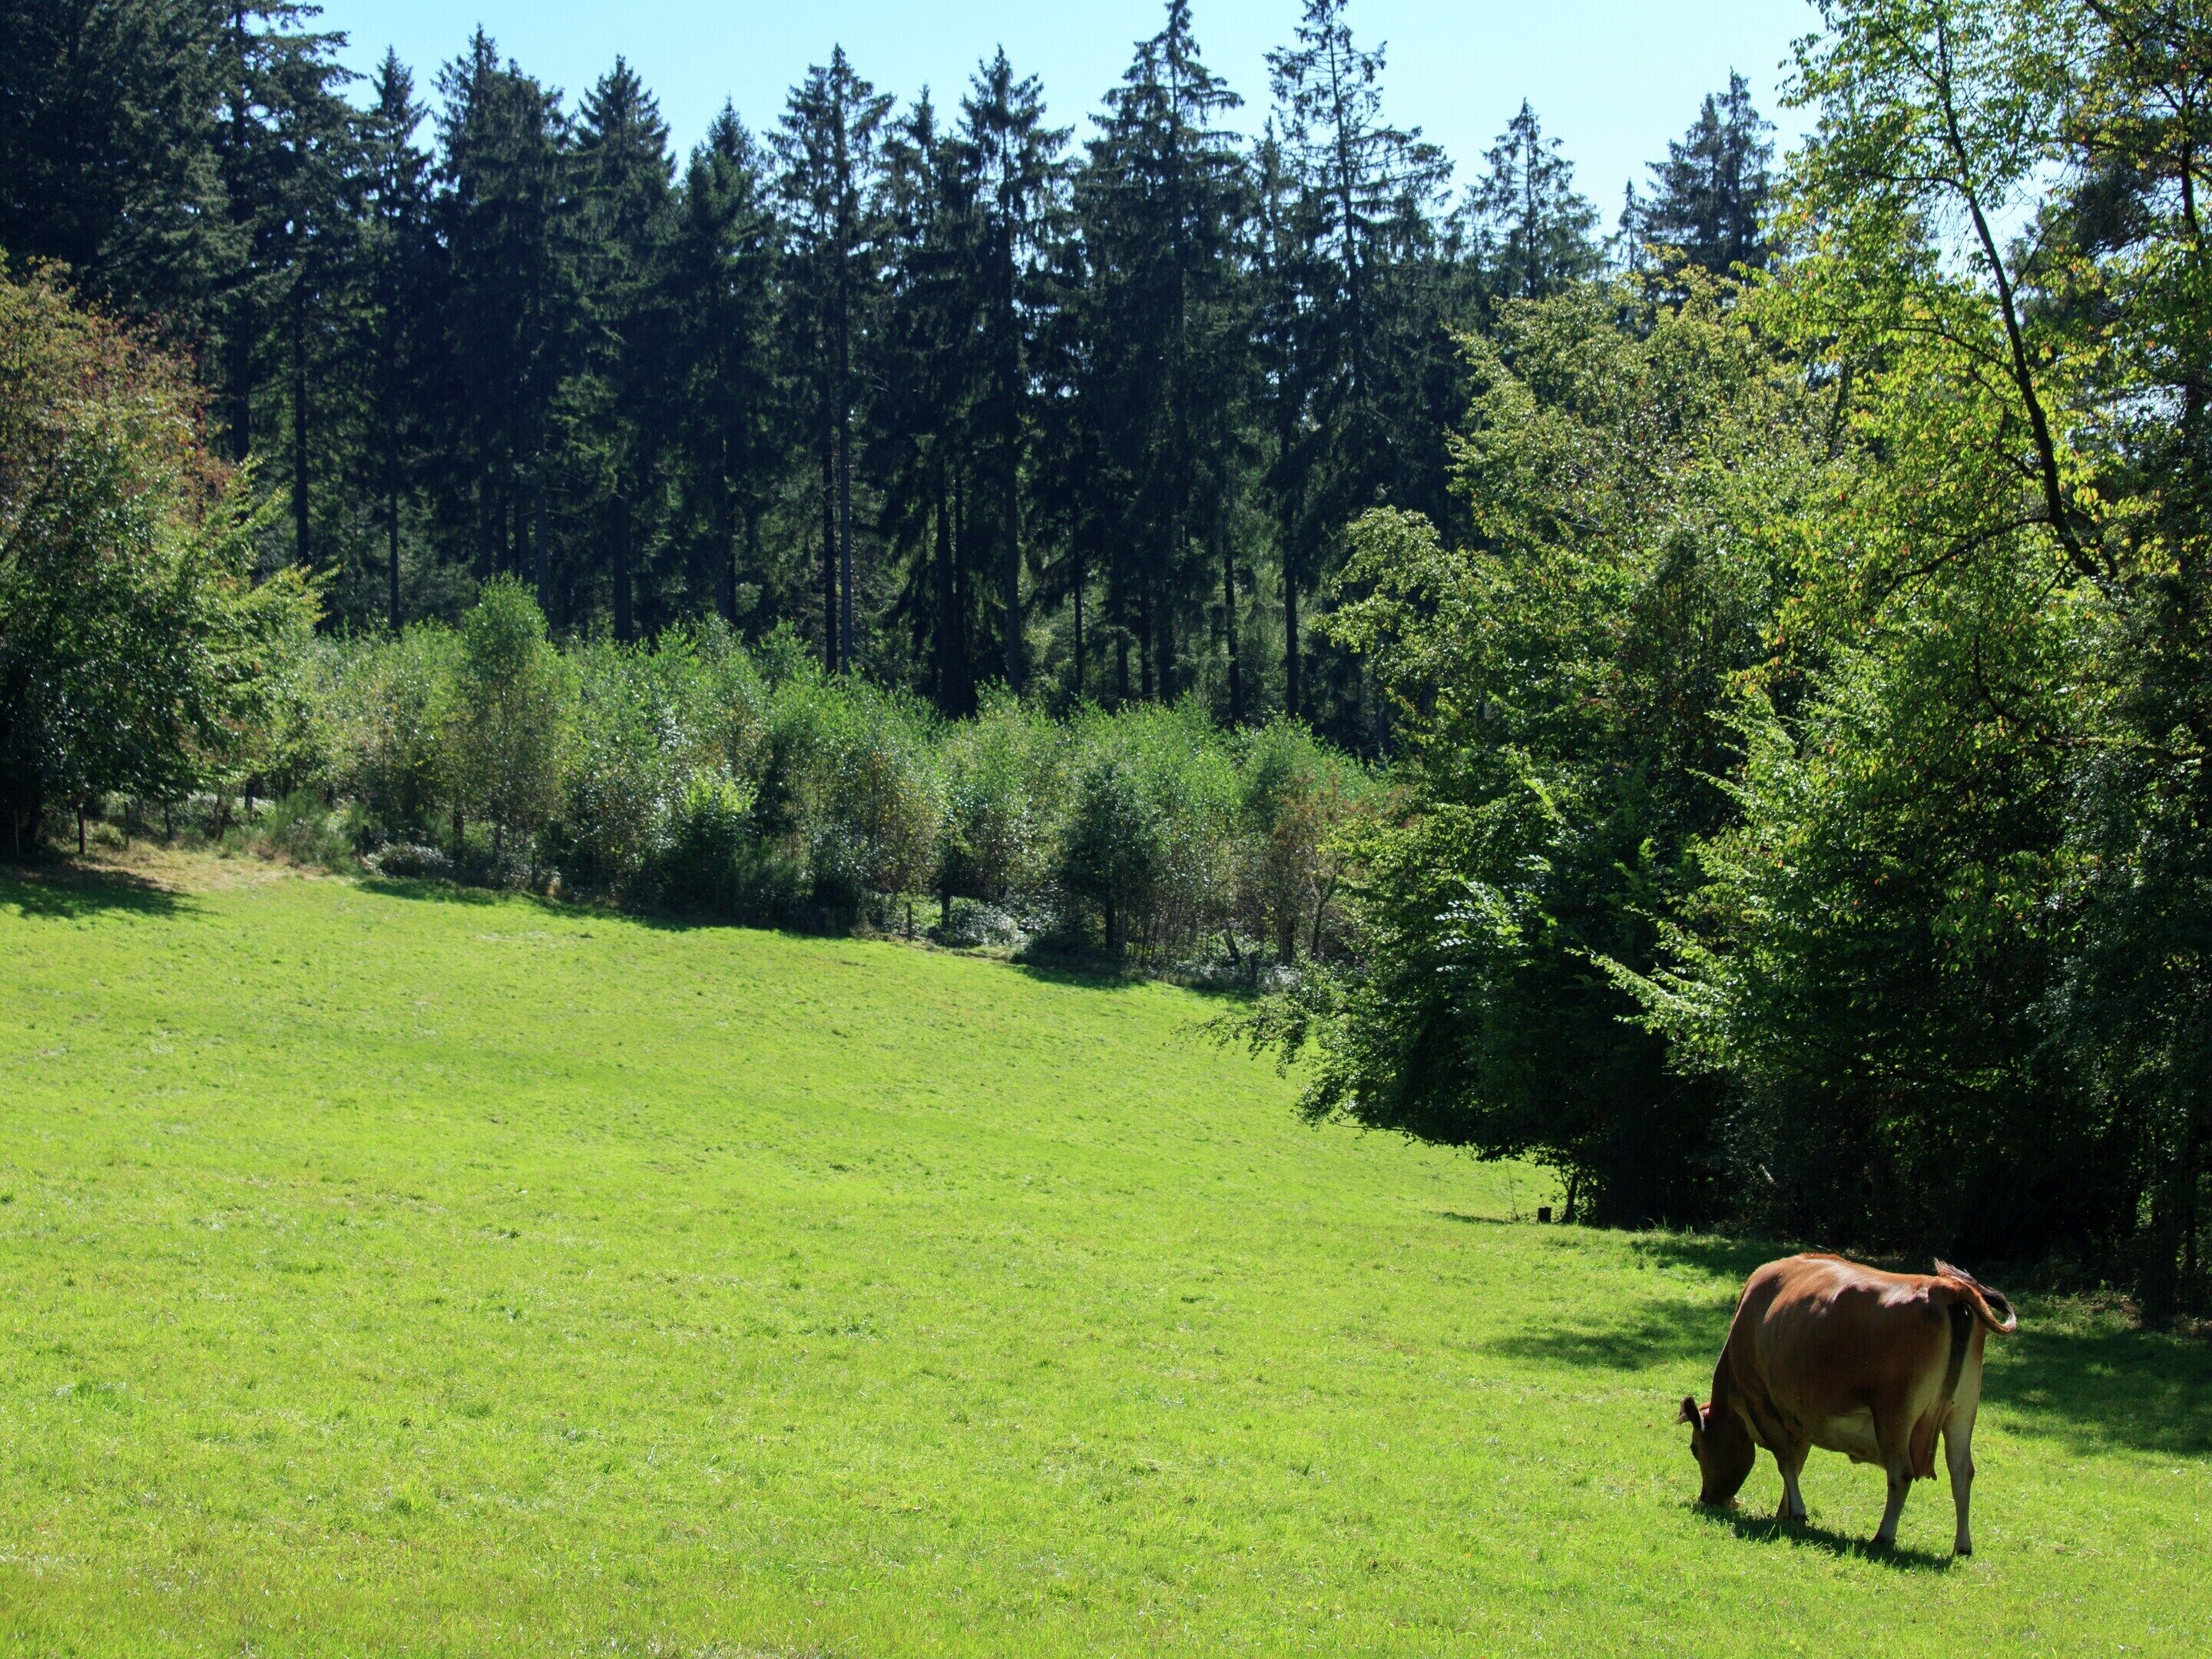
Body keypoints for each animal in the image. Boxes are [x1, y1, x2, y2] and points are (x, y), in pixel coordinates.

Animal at [1679, 1253, 2017, 1554]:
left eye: (1695, 1449)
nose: (1707, 1498)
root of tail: (1944, 1287)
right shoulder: (1799, 1416)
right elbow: (1798, 1461)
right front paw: (1785, 1511)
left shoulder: (1763, 1402)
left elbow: (1786, 1460)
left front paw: (1797, 1512)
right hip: (1962, 1411)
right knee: (1962, 1472)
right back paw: (1963, 1545)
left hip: (1894, 1415)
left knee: (1901, 1472)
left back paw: (1884, 1536)